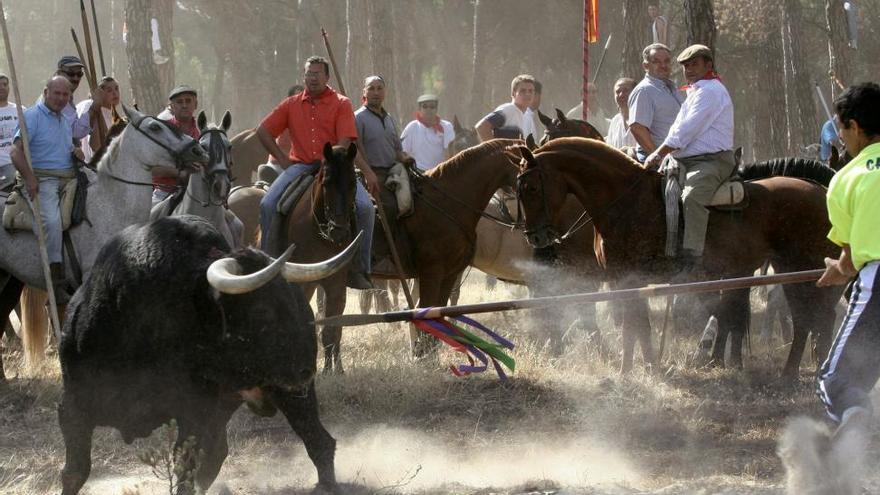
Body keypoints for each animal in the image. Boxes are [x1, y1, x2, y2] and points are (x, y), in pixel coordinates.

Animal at [58, 217, 338, 495]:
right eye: (262, 310)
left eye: (290, 300)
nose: (306, 369)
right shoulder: (72, 406)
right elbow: (75, 472)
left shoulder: (193, 411)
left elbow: (185, 468)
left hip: (292, 396)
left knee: (319, 441)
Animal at [520, 138, 844, 378]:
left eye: (532, 187)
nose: (534, 237)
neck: (625, 200)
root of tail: (821, 191)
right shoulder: (628, 281)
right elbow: (639, 326)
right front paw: (647, 367)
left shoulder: (627, 278)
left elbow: (632, 326)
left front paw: (630, 371)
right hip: (790, 269)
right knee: (806, 319)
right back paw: (791, 375)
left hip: (804, 267)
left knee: (817, 317)